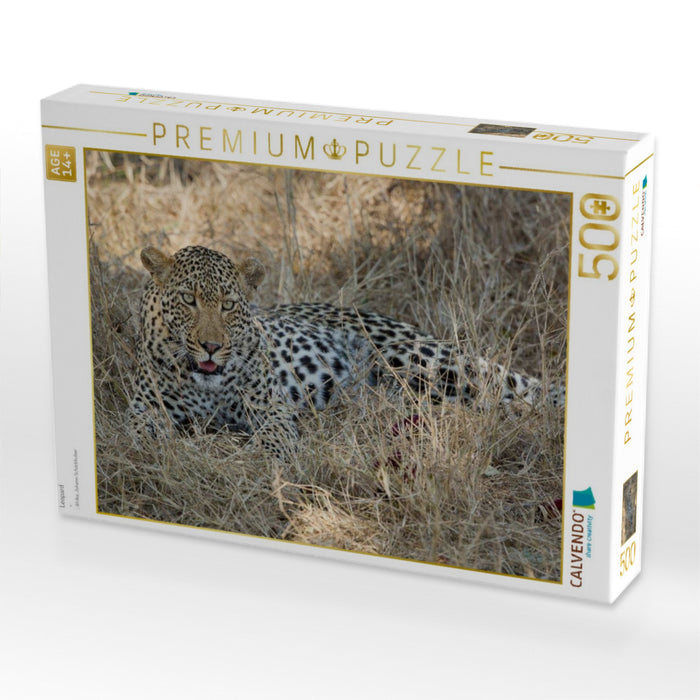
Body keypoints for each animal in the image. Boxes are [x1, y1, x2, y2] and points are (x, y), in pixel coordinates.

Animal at [129, 245, 565, 458]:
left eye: (228, 305)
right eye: (188, 300)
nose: (212, 346)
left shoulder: (271, 408)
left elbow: (274, 437)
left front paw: (256, 455)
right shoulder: (141, 410)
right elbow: (146, 433)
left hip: (413, 359)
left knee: (506, 398)